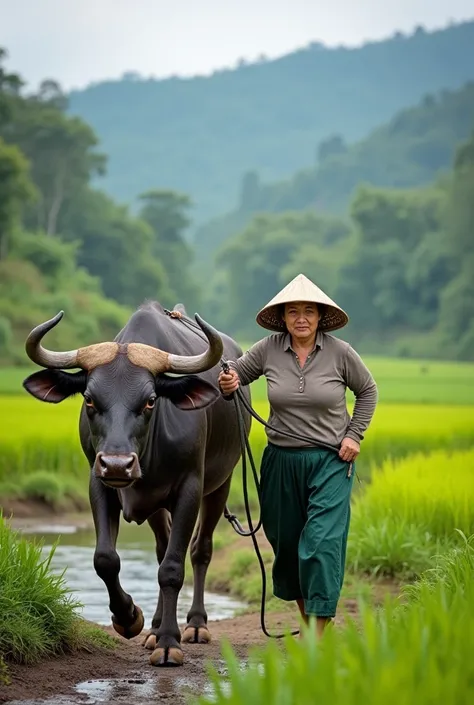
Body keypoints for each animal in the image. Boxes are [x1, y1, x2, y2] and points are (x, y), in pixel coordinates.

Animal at [22, 302, 252, 664]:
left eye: (150, 400)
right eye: (89, 398)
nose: (118, 464)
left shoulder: (190, 489)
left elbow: (173, 567)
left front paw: (169, 643)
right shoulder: (99, 483)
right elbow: (106, 559)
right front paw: (130, 618)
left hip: (221, 484)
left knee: (199, 550)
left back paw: (195, 625)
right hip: (156, 504)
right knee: (160, 548)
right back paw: (154, 627)